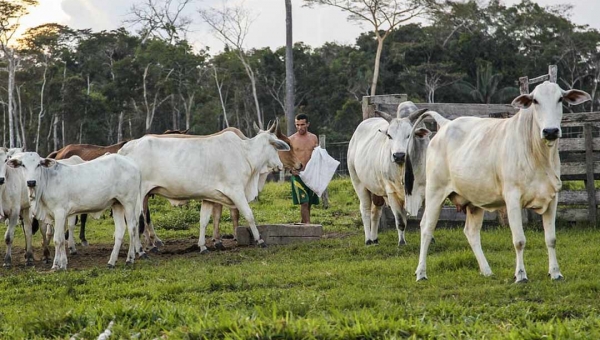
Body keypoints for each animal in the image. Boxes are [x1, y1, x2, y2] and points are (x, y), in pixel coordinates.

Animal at [8, 153, 145, 270]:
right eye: (23, 165)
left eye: (38, 164)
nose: (31, 182)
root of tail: (131, 162)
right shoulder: (56, 216)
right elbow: (61, 239)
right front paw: (62, 263)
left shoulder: (60, 212)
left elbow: (57, 240)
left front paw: (56, 265)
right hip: (117, 204)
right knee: (120, 230)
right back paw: (111, 262)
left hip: (129, 202)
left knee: (132, 227)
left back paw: (130, 259)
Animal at [117, 121, 290, 252]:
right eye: (276, 146)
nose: (281, 166)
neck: (245, 153)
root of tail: (126, 148)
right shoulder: (236, 191)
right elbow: (249, 215)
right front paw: (260, 240)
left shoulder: (209, 197)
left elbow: (204, 220)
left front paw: (202, 246)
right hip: (139, 195)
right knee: (136, 221)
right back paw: (142, 249)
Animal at [346, 101, 432, 247]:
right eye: (389, 136)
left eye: (409, 135)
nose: (399, 155)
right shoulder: (392, 193)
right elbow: (400, 222)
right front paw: (402, 243)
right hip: (357, 182)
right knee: (365, 210)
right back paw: (368, 240)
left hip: (377, 190)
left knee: (376, 211)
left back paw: (374, 239)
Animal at [412, 81, 592, 282]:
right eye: (535, 101)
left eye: (560, 99)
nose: (551, 131)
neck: (539, 155)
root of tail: (445, 124)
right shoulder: (512, 198)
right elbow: (519, 241)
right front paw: (520, 275)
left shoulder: (552, 198)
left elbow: (551, 239)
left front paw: (555, 273)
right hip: (435, 192)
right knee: (426, 228)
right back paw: (421, 272)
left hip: (474, 202)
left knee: (471, 232)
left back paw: (486, 270)